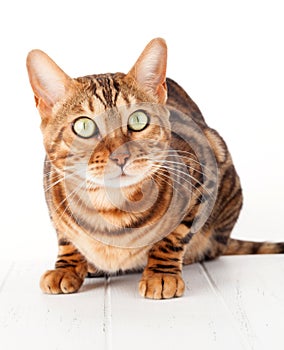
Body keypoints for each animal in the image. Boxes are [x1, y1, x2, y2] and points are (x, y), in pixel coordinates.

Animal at [26, 39, 284, 300]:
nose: (120, 155)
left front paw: (161, 273)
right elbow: (65, 238)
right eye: (84, 126)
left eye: (138, 120)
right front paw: (66, 267)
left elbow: (174, 236)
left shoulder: (203, 172)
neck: (111, 210)